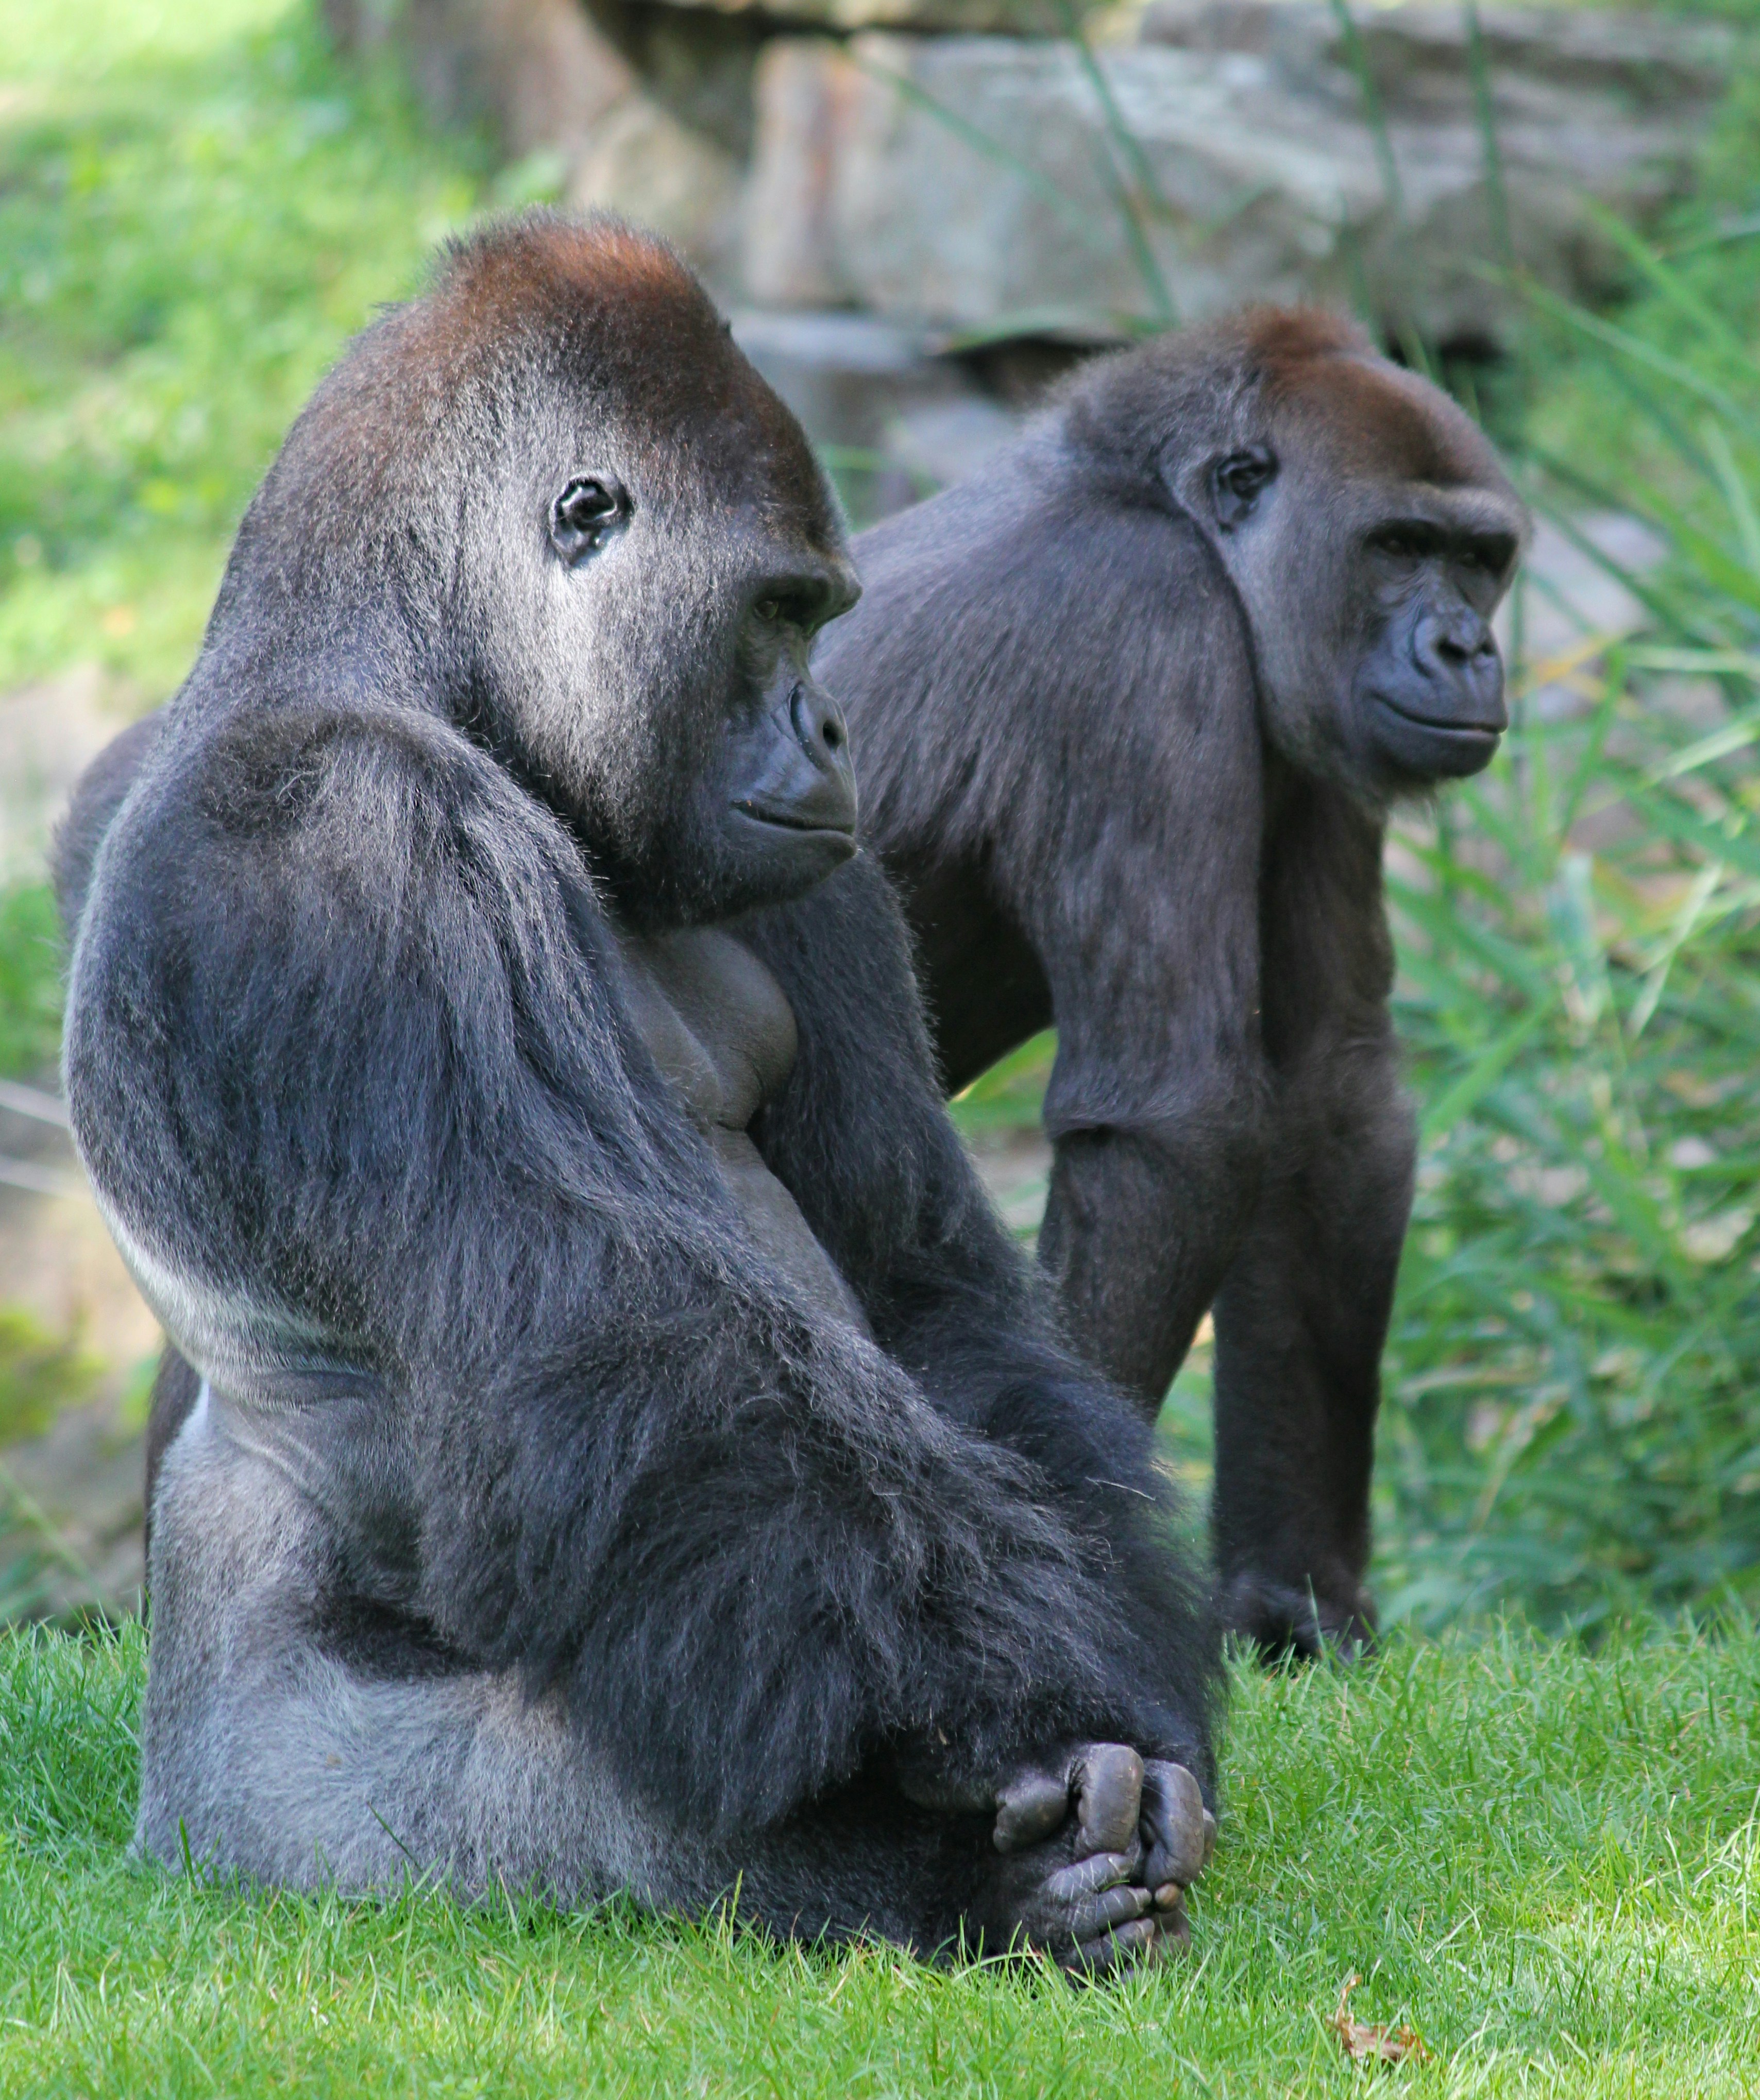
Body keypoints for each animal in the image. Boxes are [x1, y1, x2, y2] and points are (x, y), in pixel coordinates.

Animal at [57, 214, 1219, 1971]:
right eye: (780, 609)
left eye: (824, 614)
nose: (832, 722)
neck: (419, 674)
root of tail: (164, 1805)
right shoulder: (338, 838)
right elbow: (621, 1345)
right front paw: (1037, 1718)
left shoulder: (814, 880)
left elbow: (917, 1280)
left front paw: (1137, 1693)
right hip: (276, 1823)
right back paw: (962, 1885)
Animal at [813, 308, 1528, 1660]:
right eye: (1399, 547)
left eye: (1481, 560)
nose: (1468, 647)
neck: (1151, 496)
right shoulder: (1136, 623)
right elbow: (1178, 1120)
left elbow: (1329, 1102)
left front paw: (1296, 1595)